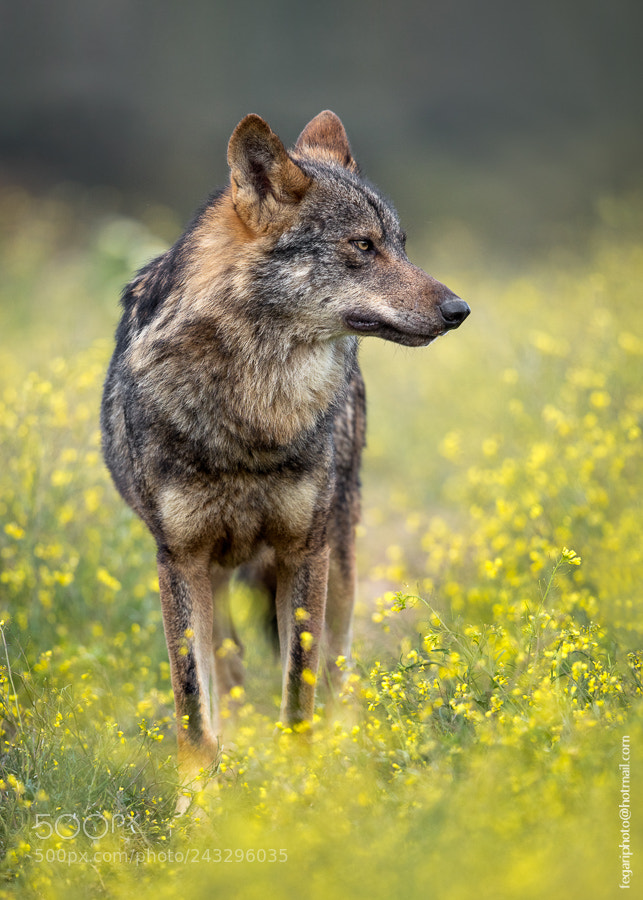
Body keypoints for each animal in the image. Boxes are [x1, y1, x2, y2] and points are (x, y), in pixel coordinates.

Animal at [101, 110, 469, 786]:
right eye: (363, 246)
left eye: (401, 244)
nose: (459, 309)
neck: (255, 410)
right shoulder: (179, 560)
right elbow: (194, 707)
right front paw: (199, 801)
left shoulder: (305, 551)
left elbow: (299, 694)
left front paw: (299, 791)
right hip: (219, 577)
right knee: (229, 669)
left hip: (340, 556)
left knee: (337, 671)